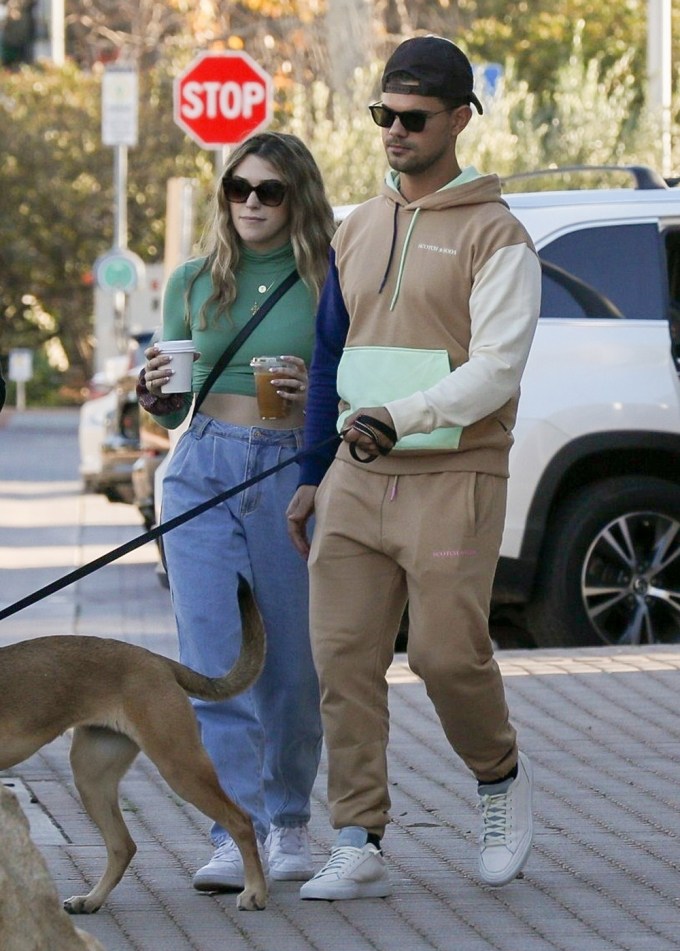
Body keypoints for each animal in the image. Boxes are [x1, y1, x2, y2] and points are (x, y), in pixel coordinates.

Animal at [0, 572, 268, 916]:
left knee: (241, 821)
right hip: (92, 777)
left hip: (179, 766)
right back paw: (91, 900)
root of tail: (157, 660)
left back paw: (255, 892)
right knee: (122, 845)